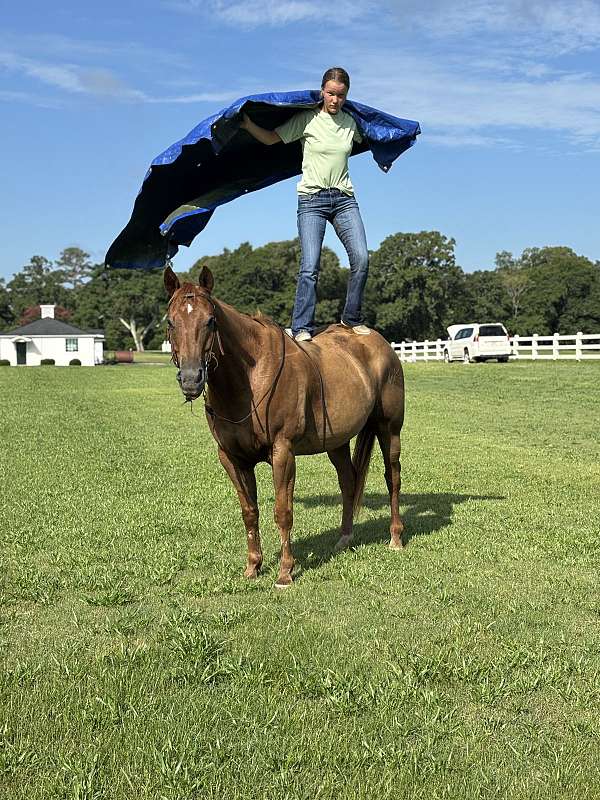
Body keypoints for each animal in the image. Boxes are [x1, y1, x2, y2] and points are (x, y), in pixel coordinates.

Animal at [164, 264, 405, 588]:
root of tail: (381, 344)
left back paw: (395, 538)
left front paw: (285, 572)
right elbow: (249, 512)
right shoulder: (232, 458)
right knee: (348, 481)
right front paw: (253, 566)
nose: (191, 379)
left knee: (392, 478)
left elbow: (283, 511)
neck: (251, 376)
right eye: (171, 321)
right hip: (337, 443)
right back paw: (344, 539)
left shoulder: (283, 452)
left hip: (389, 428)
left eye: (210, 321)